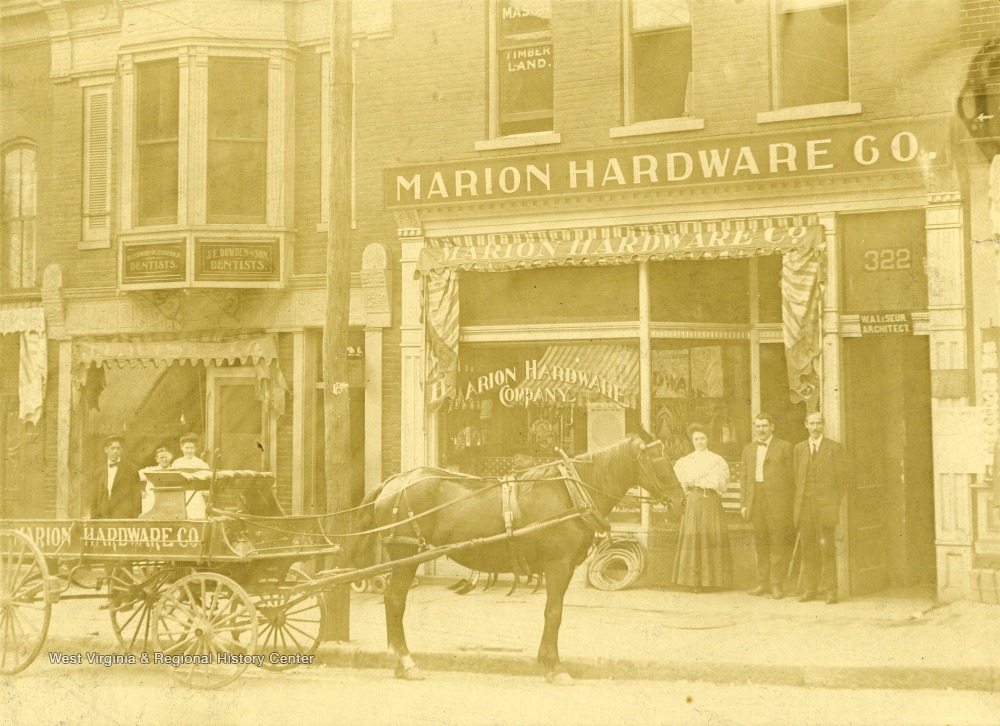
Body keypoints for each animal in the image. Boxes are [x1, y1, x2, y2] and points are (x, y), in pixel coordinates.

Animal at [346, 432, 688, 688]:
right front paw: (554, 667)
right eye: (660, 461)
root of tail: (393, 482)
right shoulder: (558, 565)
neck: (571, 492)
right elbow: (554, 613)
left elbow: (553, 613)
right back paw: (406, 662)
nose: (682, 501)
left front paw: (547, 662)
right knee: (394, 601)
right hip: (406, 557)